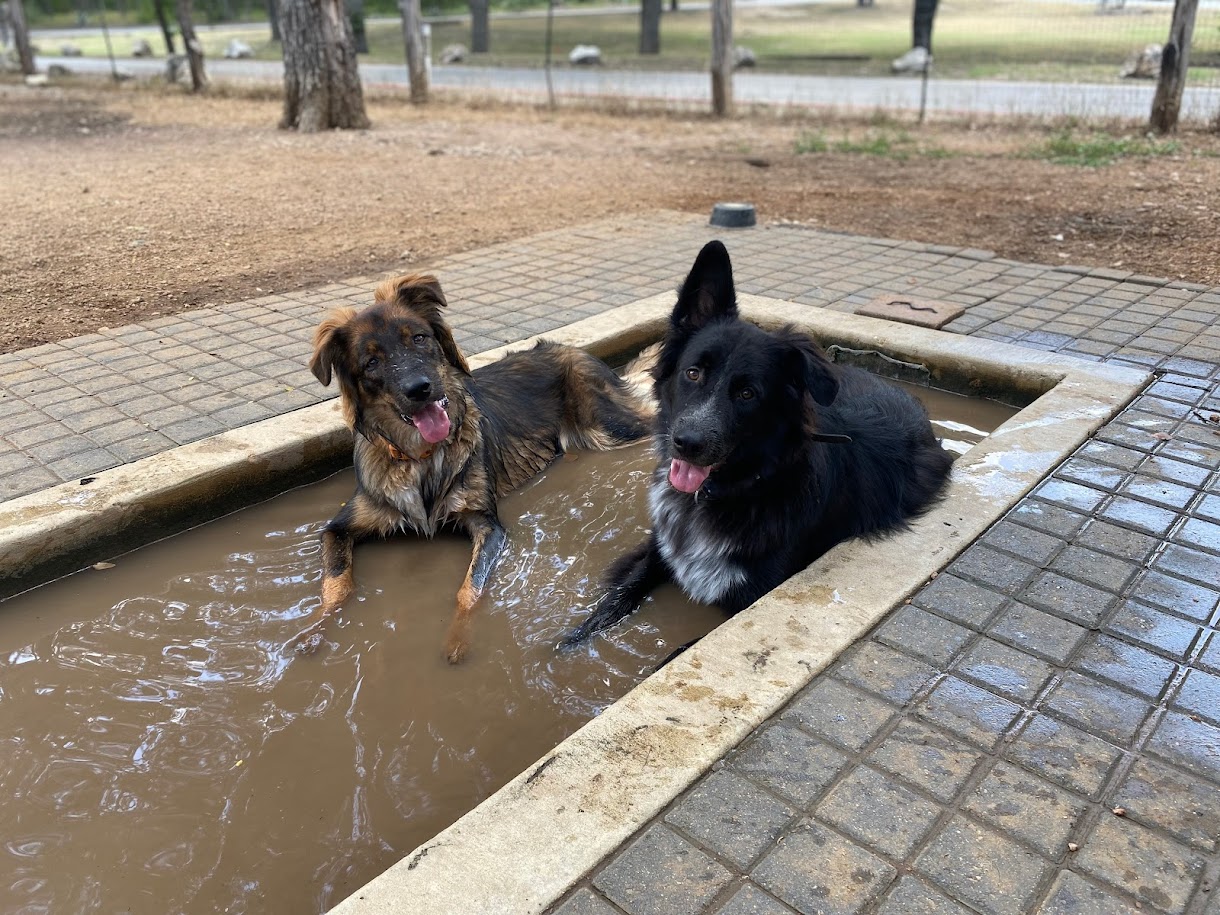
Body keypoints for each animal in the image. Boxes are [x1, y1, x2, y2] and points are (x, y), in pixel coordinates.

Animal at [300, 275, 653, 663]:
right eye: (372, 361)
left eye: (419, 338)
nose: (420, 389)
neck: (422, 457)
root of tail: (572, 349)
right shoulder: (338, 528)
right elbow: (336, 585)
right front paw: (312, 632)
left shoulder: (487, 525)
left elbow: (470, 589)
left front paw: (458, 639)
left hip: (608, 429)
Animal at [561, 240, 951, 649]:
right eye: (693, 373)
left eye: (748, 394)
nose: (686, 444)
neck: (733, 490)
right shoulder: (662, 548)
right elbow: (623, 589)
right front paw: (575, 639)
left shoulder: (750, 596)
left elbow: (681, 647)